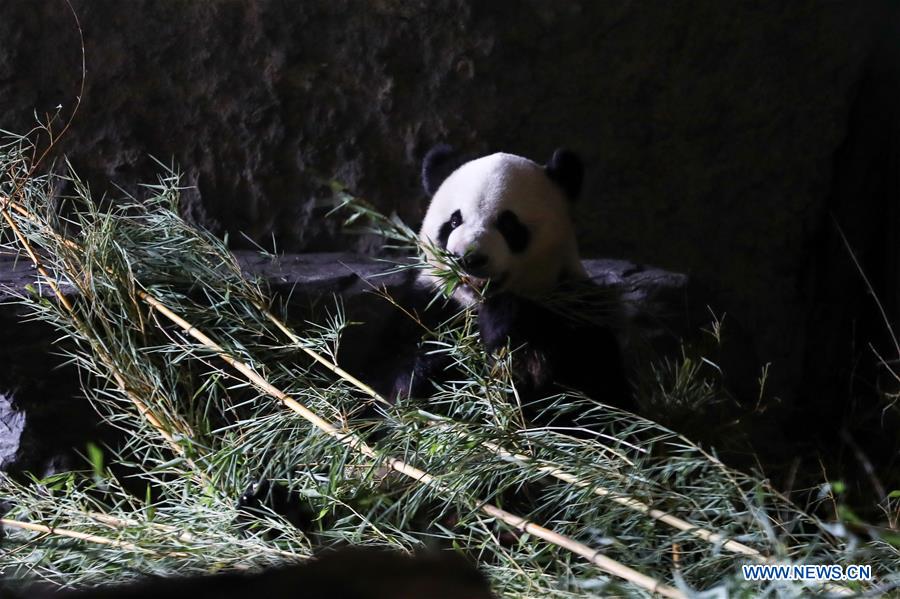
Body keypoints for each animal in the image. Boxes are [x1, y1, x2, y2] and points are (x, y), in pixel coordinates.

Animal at [343, 145, 633, 424]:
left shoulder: (575, 310)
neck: (473, 306)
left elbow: (586, 401)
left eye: (508, 225)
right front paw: (435, 366)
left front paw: (504, 324)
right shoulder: (424, 307)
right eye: (454, 221)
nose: (468, 258)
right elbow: (382, 387)